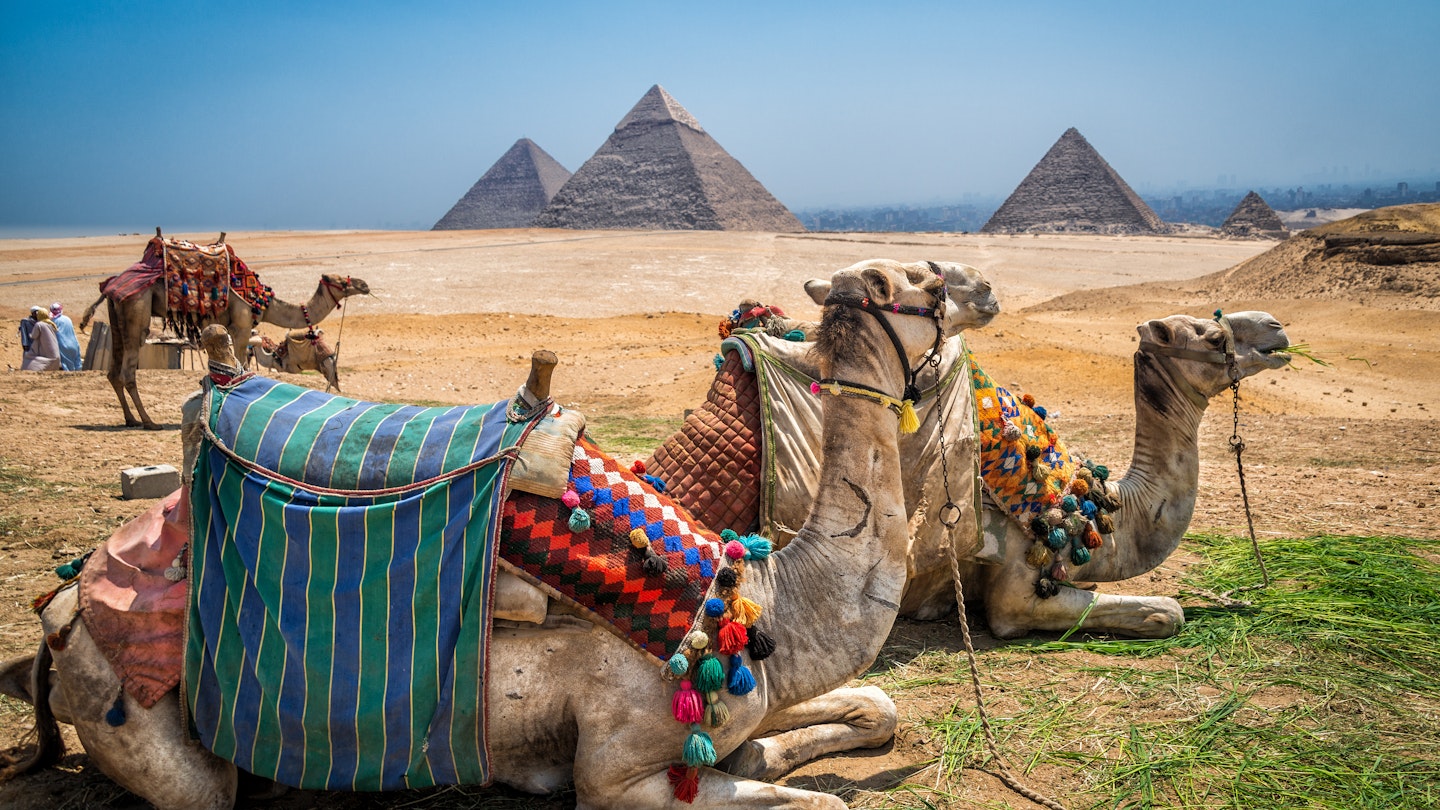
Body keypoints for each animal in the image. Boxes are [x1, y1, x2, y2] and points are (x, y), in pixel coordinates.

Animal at [3, 260, 964, 809]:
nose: (979, 290)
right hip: (144, 718)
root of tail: (65, 604)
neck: (764, 609)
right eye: (930, 286)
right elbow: (824, 802)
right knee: (205, 790)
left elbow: (869, 709)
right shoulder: (619, 774)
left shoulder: (732, 721)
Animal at [78, 241, 369, 429]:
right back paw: (148, 422)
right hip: (136, 308)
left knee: (113, 371)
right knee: (128, 369)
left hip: (117, 316)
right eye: (341, 281)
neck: (264, 302)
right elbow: (243, 366)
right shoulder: (241, 327)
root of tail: (112, 285)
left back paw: (130, 419)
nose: (364, 284)